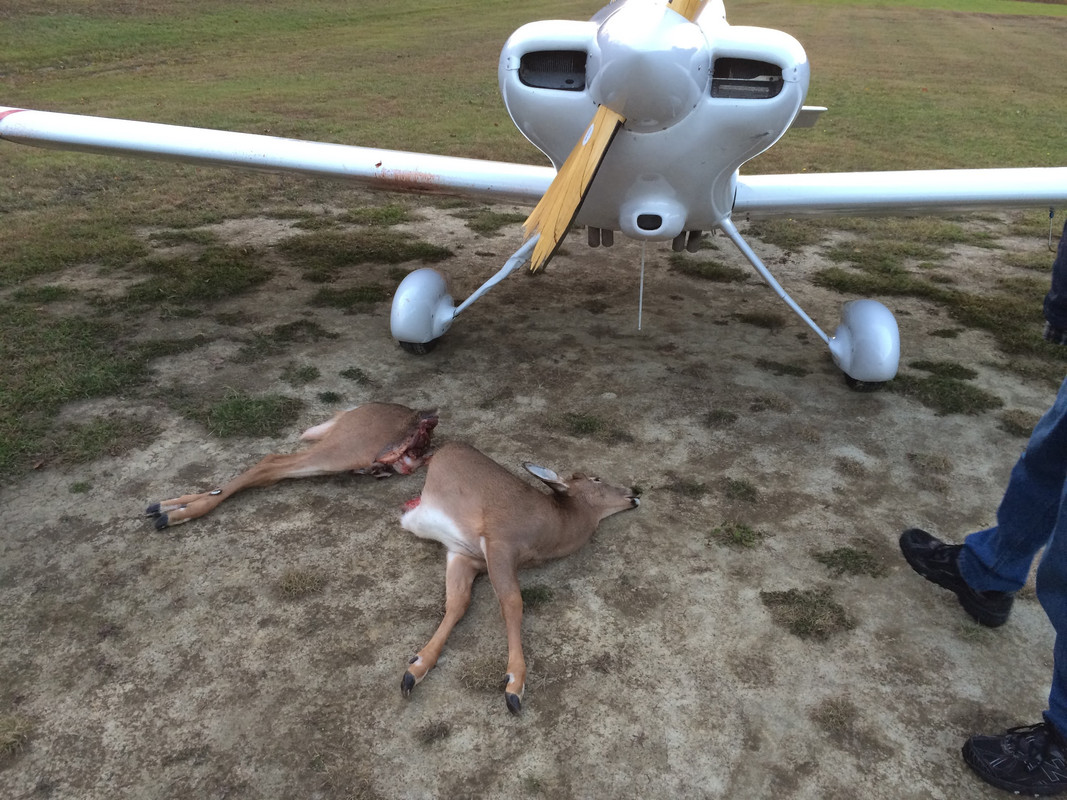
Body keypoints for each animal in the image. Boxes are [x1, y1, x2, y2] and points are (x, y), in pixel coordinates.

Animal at [398, 441, 640, 713]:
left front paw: (415, 669)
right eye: (597, 479)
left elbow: (458, 603)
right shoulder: (500, 541)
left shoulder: (466, 555)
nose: (634, 491)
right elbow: (513, 603)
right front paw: (515, 684)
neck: (556, 528)